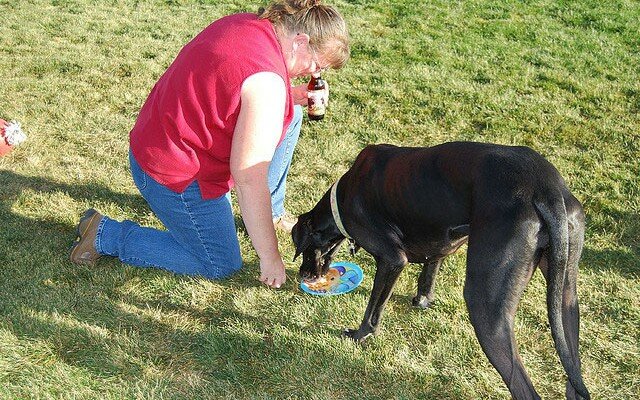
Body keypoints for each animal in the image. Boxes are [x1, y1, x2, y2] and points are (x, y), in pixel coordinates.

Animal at [294, 142, 592, 398]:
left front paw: (360, 335)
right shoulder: (439, 244)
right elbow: (429, 271)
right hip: (566, 296)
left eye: (304, 247)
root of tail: (546, 188)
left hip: (485, 303)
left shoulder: (392, 259)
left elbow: (374, 307)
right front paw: (422, 300)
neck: (342, 197)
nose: (304, 275)